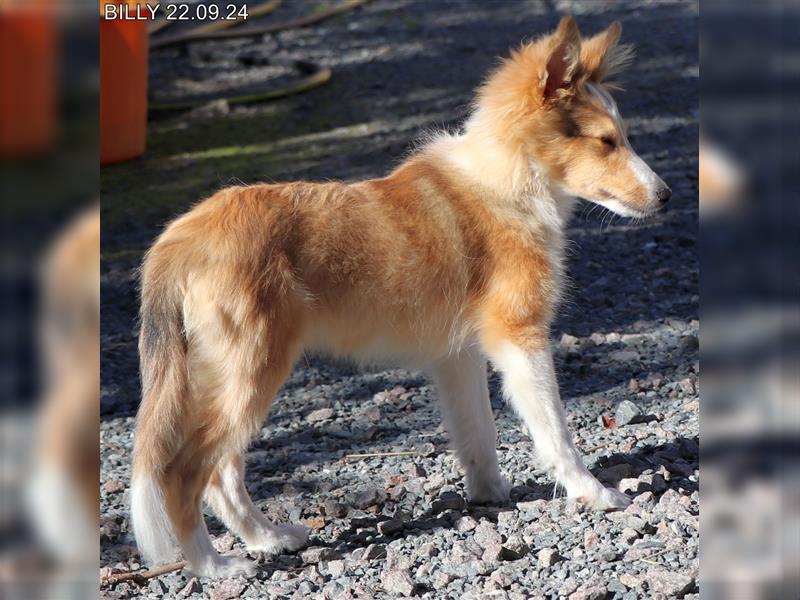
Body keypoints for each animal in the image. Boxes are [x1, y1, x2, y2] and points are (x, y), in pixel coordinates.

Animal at [130, 16, 668, 580]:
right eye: (605, 142)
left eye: (621, 137)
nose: (668, 198)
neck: (506, 180)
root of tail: (181, 238)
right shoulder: (519, 337)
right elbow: (555, 431)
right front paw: (594, 493)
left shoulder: (458, 355)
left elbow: (478, 434)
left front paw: (490, 494)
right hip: (251, 370)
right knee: (186, 472)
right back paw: (212, 566)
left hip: (231, 377)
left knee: (221, 473)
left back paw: (268, 539)